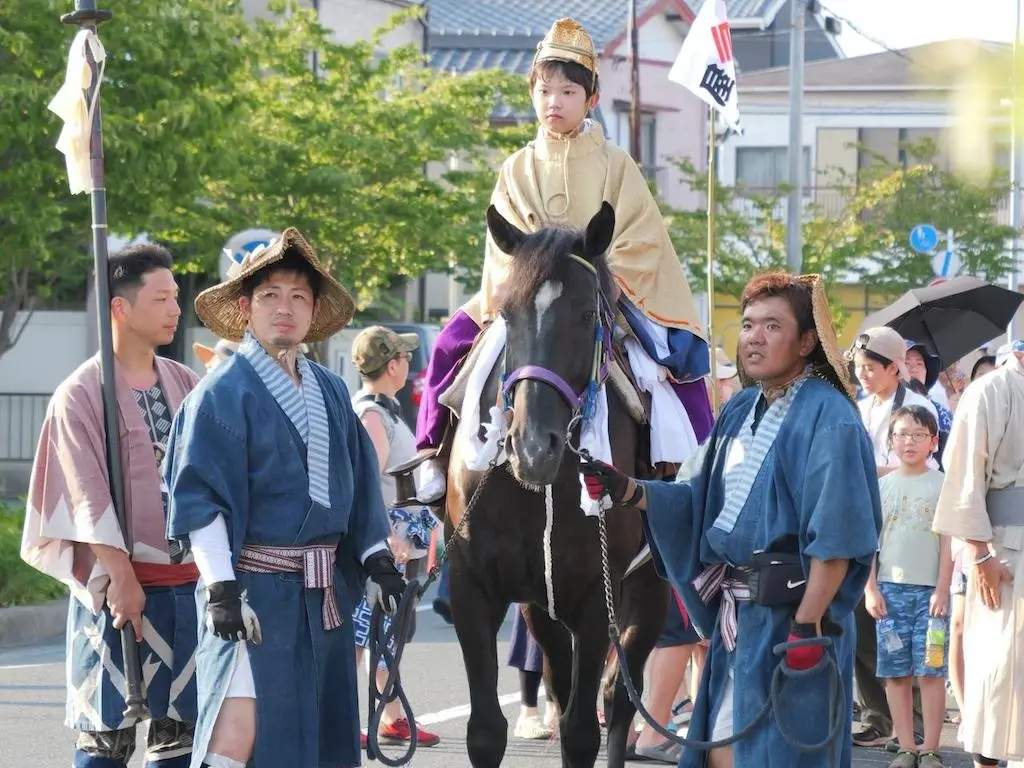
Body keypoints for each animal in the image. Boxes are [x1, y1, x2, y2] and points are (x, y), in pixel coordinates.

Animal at [444, 204, 667, 768]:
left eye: (587, 315)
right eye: (506, 314)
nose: (531, 448)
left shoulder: (595, 594)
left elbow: (583, 730)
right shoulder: (472, 584)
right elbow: (485, 731)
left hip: (650, 582)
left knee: (617, 696)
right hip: (539, 603)